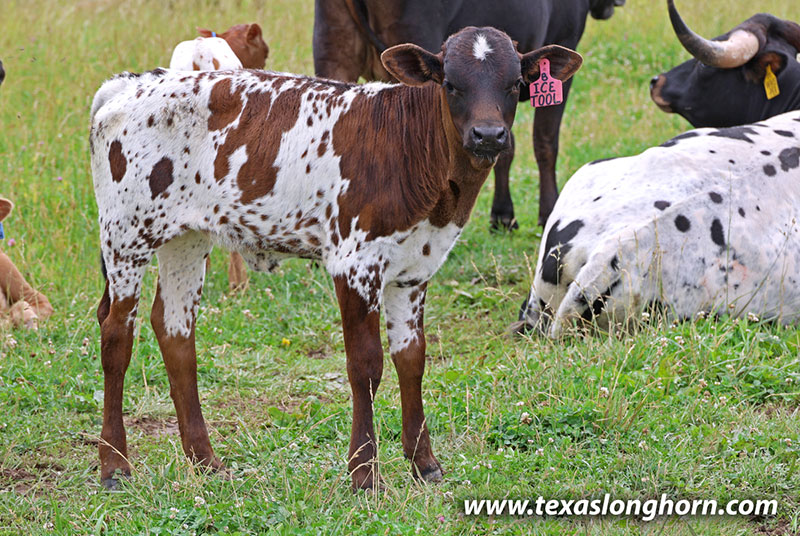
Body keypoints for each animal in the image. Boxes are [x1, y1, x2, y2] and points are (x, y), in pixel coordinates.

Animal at [313, 0, 624, 230]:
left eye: (515, 83)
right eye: (450, 84)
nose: (487, 134)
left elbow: (507, 149)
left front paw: (502, 216)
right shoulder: (566, 40)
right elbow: (545, 143)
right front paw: (548, 212)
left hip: (333, 51)